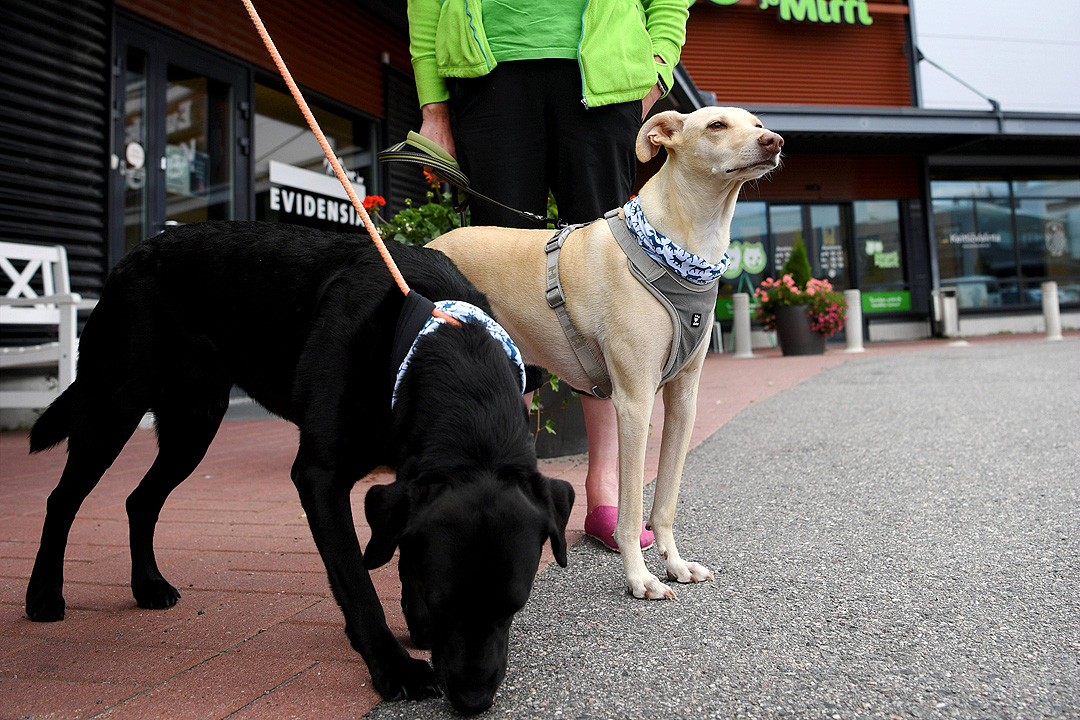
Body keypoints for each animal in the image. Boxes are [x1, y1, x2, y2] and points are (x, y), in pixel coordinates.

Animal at [23, 221, 574, 716]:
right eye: (445, 603)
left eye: (516, 605)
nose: (475, 701)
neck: (437, 336)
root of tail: (131, 256)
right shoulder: (319, 475)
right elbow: (356, 579)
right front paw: (394, 666)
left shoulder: (405, 473)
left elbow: (400, 548)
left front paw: (414, 623)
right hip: (113, 407)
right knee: (61, 499)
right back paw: (44, 595)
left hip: (192, 426)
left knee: (141, 499)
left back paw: (148, 586)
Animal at [427, 106, 786, 600]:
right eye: (716, 126)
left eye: (756, 124)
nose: (775, 142)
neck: (680, 248)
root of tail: (425, 246)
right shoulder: (634, 403)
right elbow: (632, 508)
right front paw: (640, 577)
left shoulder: (683, 401)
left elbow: (665, 501)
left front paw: (674, 564)